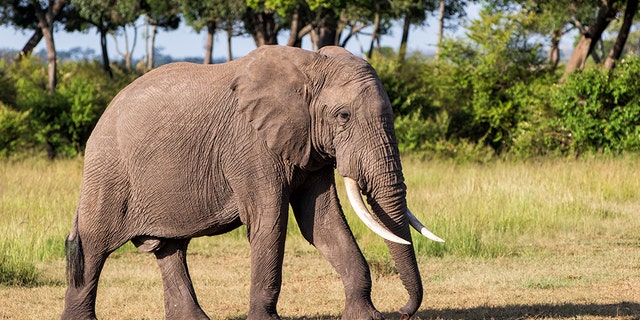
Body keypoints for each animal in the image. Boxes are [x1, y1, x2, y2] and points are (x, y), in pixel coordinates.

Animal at [62, 45, 442, 320]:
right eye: (343, 116)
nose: (403, 312)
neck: (309, 65)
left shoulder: (308, 146)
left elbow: (322, 223)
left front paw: (367, 317)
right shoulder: (250, 144)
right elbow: (270, 222)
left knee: (170, 248)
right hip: (108, 171)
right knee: (92, 247)